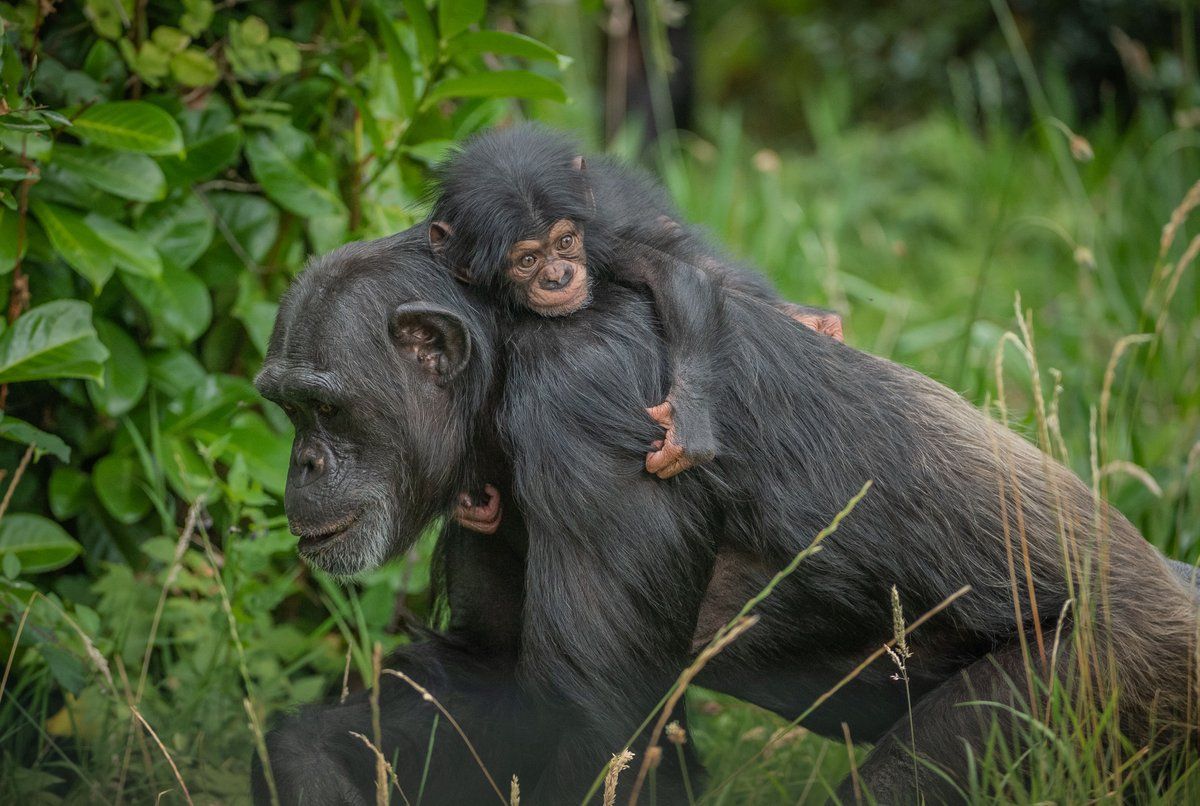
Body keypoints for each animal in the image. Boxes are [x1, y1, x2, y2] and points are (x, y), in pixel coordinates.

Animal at [255, 226, 1200, 806]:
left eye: (326, 408)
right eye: (288, 408)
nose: (303, 464)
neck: (508, 355)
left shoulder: (588, 408)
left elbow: (592, 727)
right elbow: (492, 673)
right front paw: (309, 757)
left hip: (1104, 677)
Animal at [427, 124, 840, 527]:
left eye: (565, 241)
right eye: (527, 260)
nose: (558, 277)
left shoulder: (606, 241)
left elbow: (680, 276)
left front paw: (686, 423)